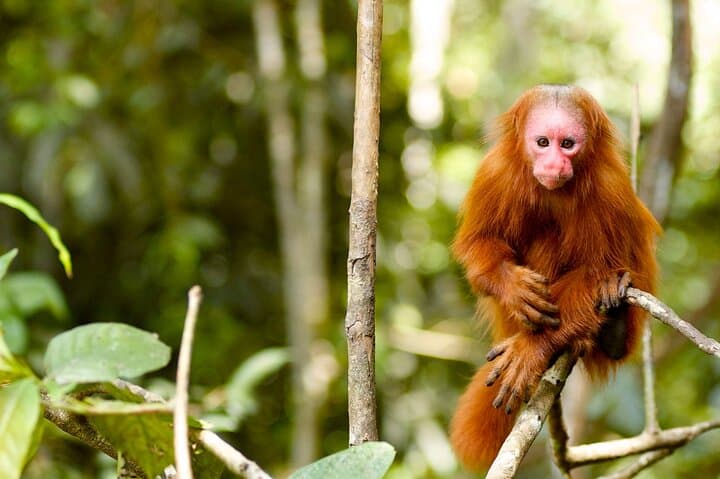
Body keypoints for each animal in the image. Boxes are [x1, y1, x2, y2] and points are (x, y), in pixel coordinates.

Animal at [449, 85, 660, 470]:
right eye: (543, 142)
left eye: (568, 144)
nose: (555, 164)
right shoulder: (494, 173)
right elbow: (478, 246)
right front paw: (514, 287)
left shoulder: (610, 187)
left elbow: (596, 272)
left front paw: (532, 348)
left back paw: (612, 330)